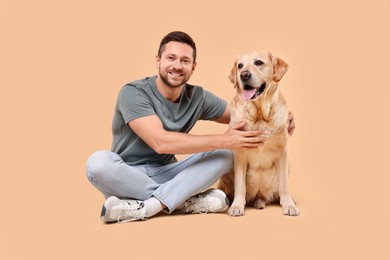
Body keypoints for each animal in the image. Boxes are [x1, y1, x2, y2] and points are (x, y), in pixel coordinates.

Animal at [218, 49, 300, 216]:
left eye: (258, 62)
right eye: (240, 66)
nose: (244, 75)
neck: (260, 114)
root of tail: (259, 197)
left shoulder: (283, 151)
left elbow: (284, 186)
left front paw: (288, 205)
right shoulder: (239, 152)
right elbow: (240, 186)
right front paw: (237, 206)